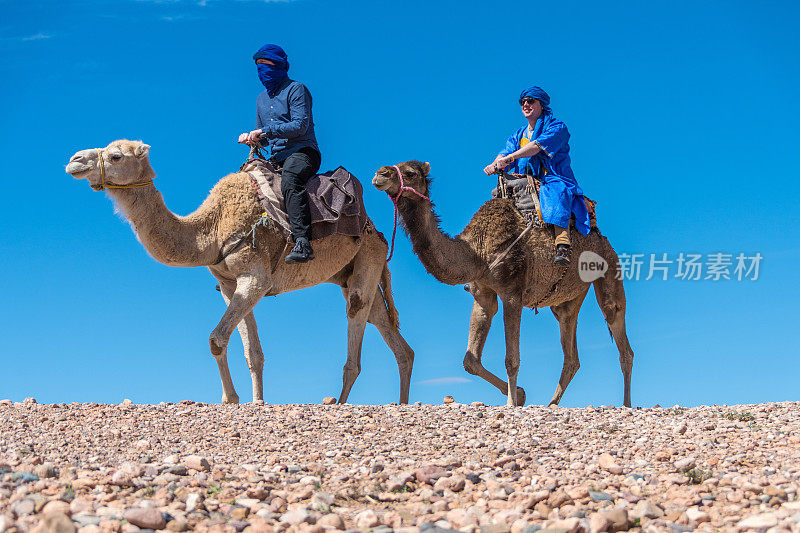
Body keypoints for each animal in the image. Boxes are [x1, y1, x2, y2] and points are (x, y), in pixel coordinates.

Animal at [65, 140, 416, 404]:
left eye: (116, 155)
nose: (73, 160)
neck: (212, 230)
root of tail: (378, 232)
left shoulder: (255, 278)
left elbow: (217, 339)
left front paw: (231, 399)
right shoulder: (229, 284)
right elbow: (252, 352)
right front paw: (254, 401)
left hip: (367, 256)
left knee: (356, 321)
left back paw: (340, 403)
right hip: (354, 271)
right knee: (387, 328)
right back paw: (401, 402)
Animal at [372, 160, 636, 406]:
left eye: (410, 173)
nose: (380, 174)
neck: (476, 250)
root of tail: (601, 237)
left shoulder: (512, 293)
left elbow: (512, 359)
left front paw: (511, 402)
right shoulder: (483, 293)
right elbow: (471, 360)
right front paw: (519, 394)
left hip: (609, 268)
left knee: (621, 336)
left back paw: (626, 404)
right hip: (566, 301)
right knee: (571, 353)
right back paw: (551, 404)